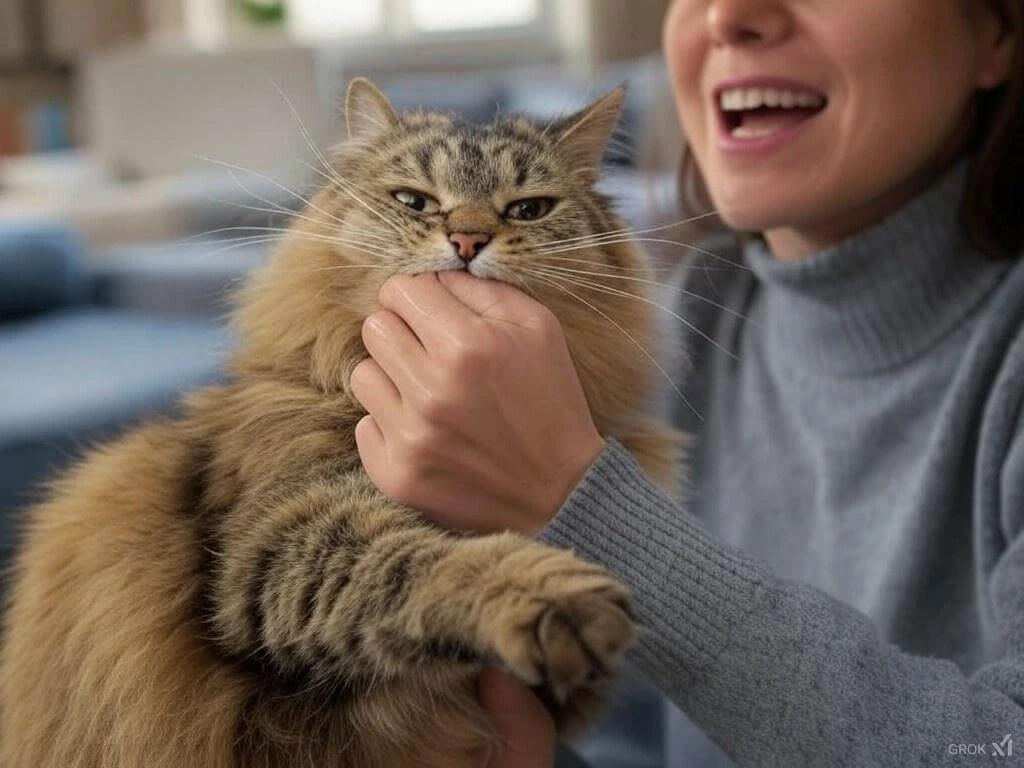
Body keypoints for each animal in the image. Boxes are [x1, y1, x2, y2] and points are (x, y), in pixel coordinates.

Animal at [2, 78, 688, 768]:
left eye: (528, 209)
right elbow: (420, 562)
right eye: (414, 201)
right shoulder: (277, 538)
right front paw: (555, 601)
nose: (468, 241)